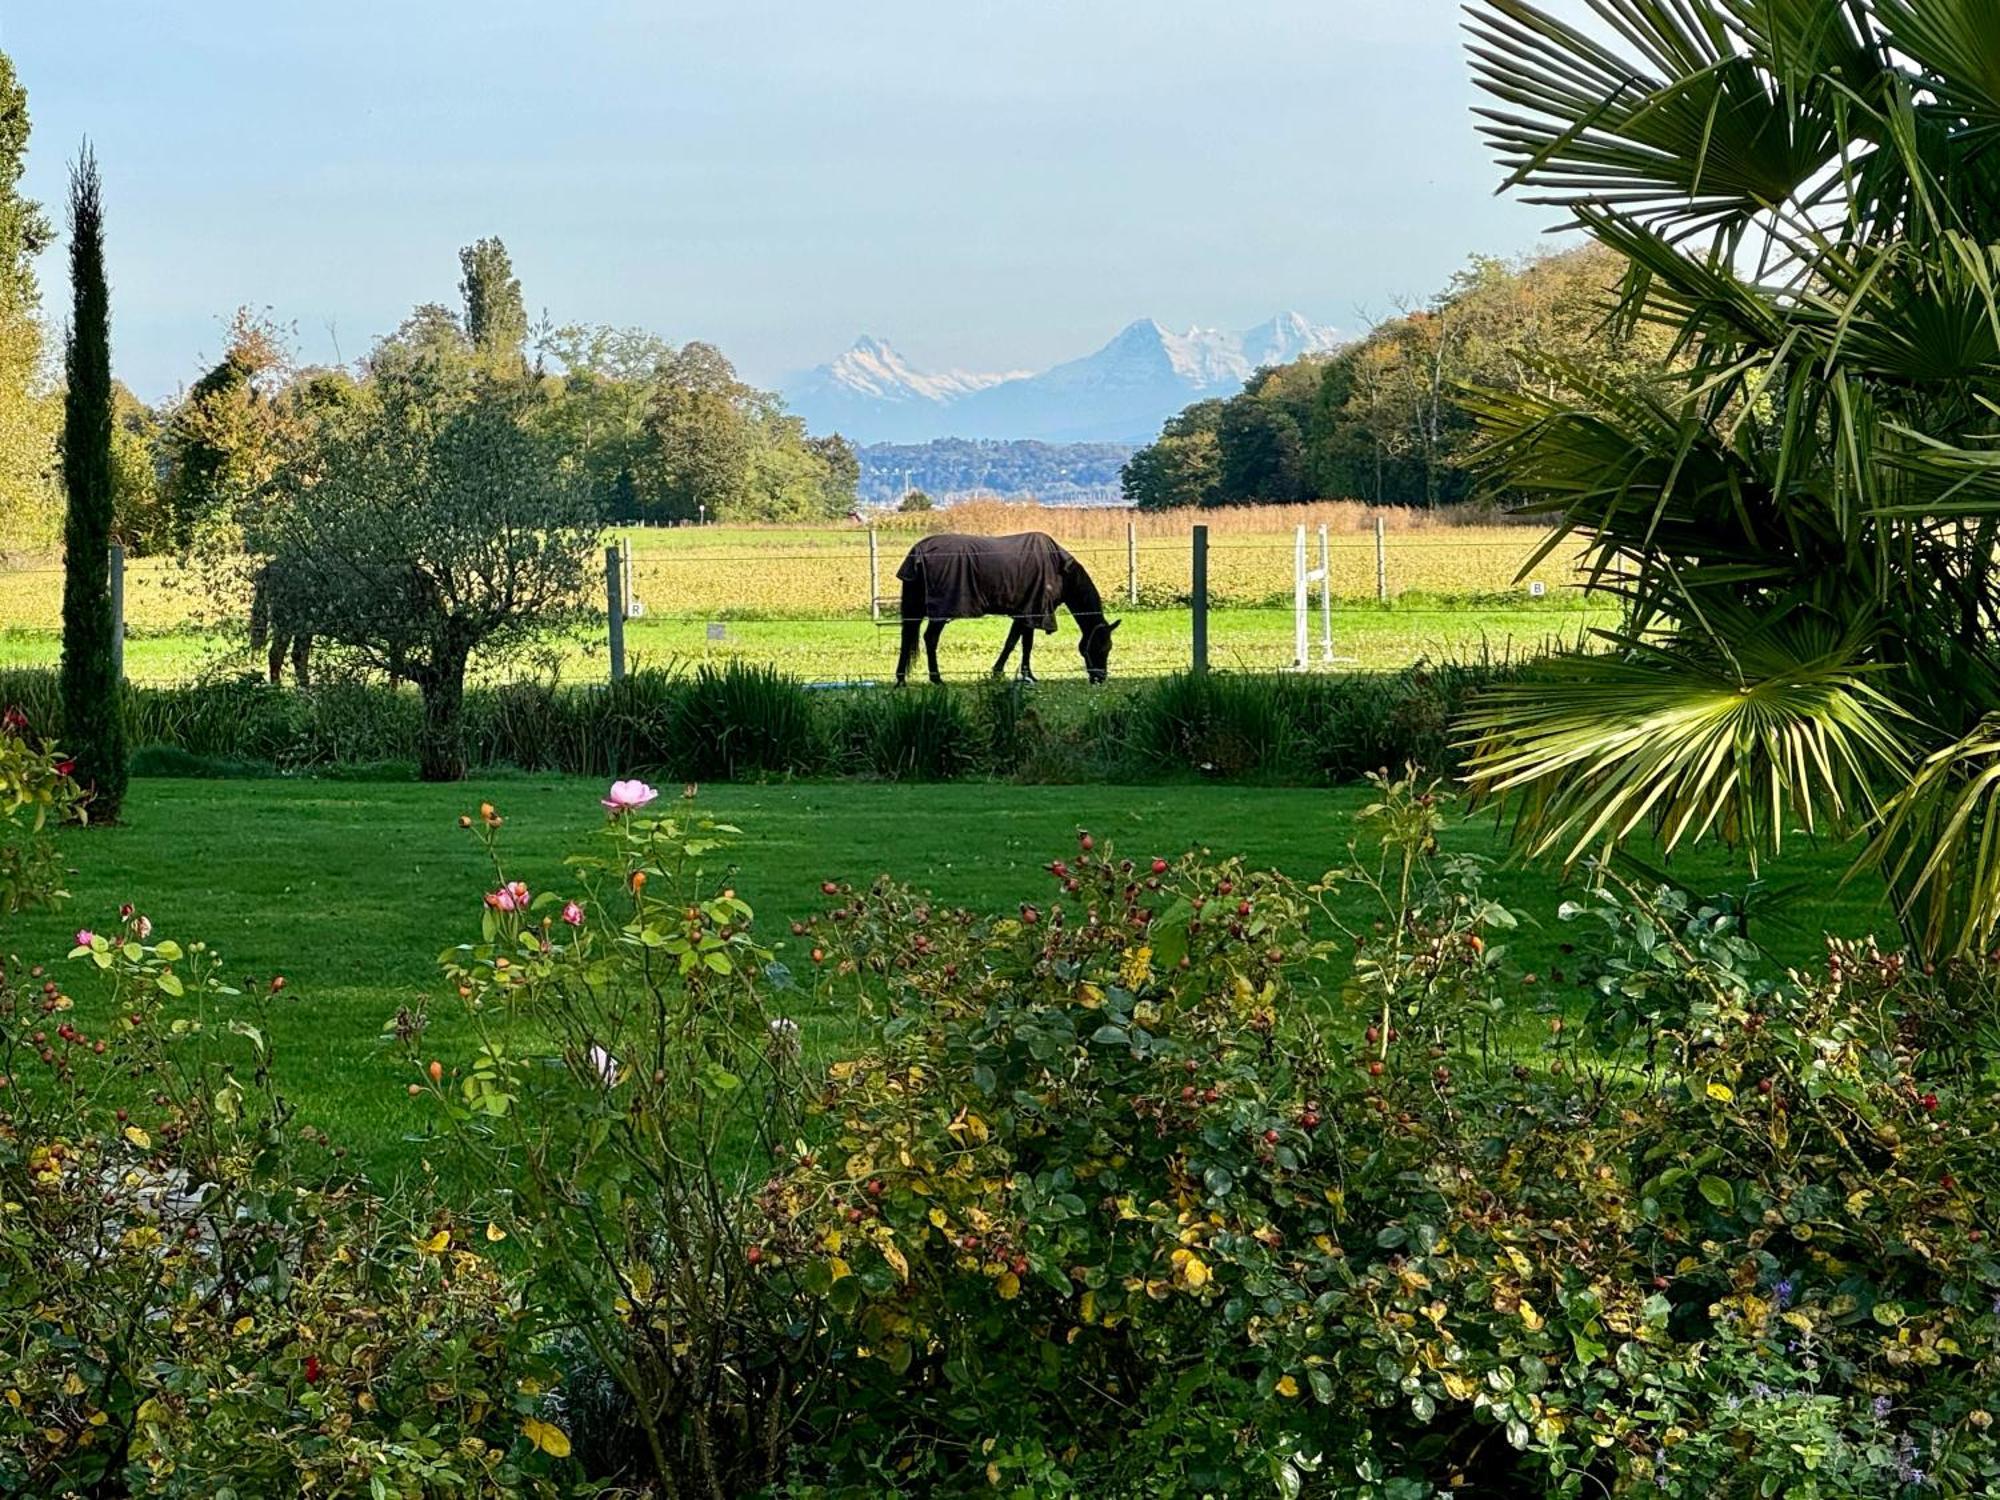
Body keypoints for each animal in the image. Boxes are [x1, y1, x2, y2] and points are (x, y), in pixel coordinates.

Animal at [896, 536, 1120, 688]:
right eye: (1100, 648)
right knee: (930, 638)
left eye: (1108, 648)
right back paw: (936, 678)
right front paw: (1002, 673)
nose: (1100, 678)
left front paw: (1026, 675)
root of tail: (917, 551)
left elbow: (1024, 643)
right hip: (940, 613)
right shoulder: (1029, 612)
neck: (1060, 570)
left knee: (908, 637)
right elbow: (1014, 643)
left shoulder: (1029, 614)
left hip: (916, 608)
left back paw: (901, 679)